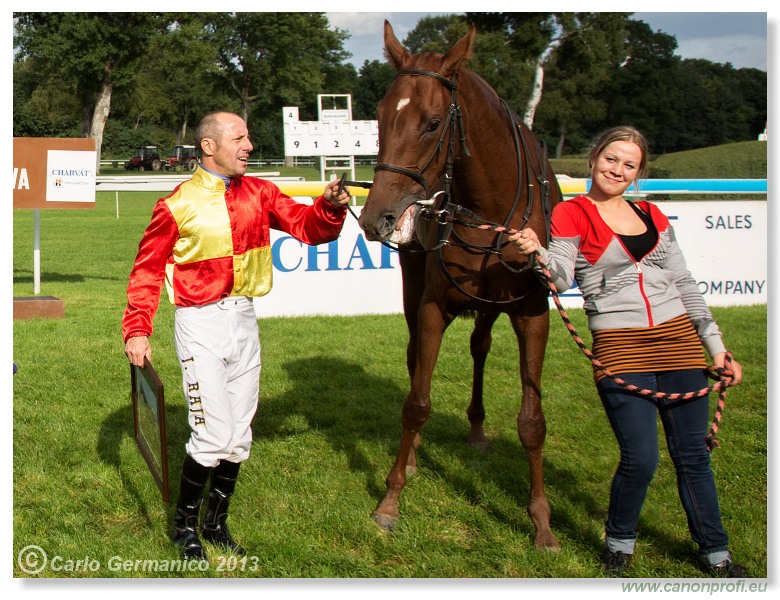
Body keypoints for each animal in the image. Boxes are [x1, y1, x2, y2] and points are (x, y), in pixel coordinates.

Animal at [356, 22, 564, 548]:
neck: (491, 209)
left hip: (490, 305)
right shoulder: (433, 305)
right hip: (413, 288)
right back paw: (413, 455)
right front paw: (391, 498)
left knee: (480, 346)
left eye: (432, 123)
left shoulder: (533, 313)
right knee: (417, 358)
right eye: (380, 118)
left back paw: (476, 428)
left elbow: (532, 421)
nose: (375, 217)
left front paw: (542, 522)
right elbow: (416, 402)